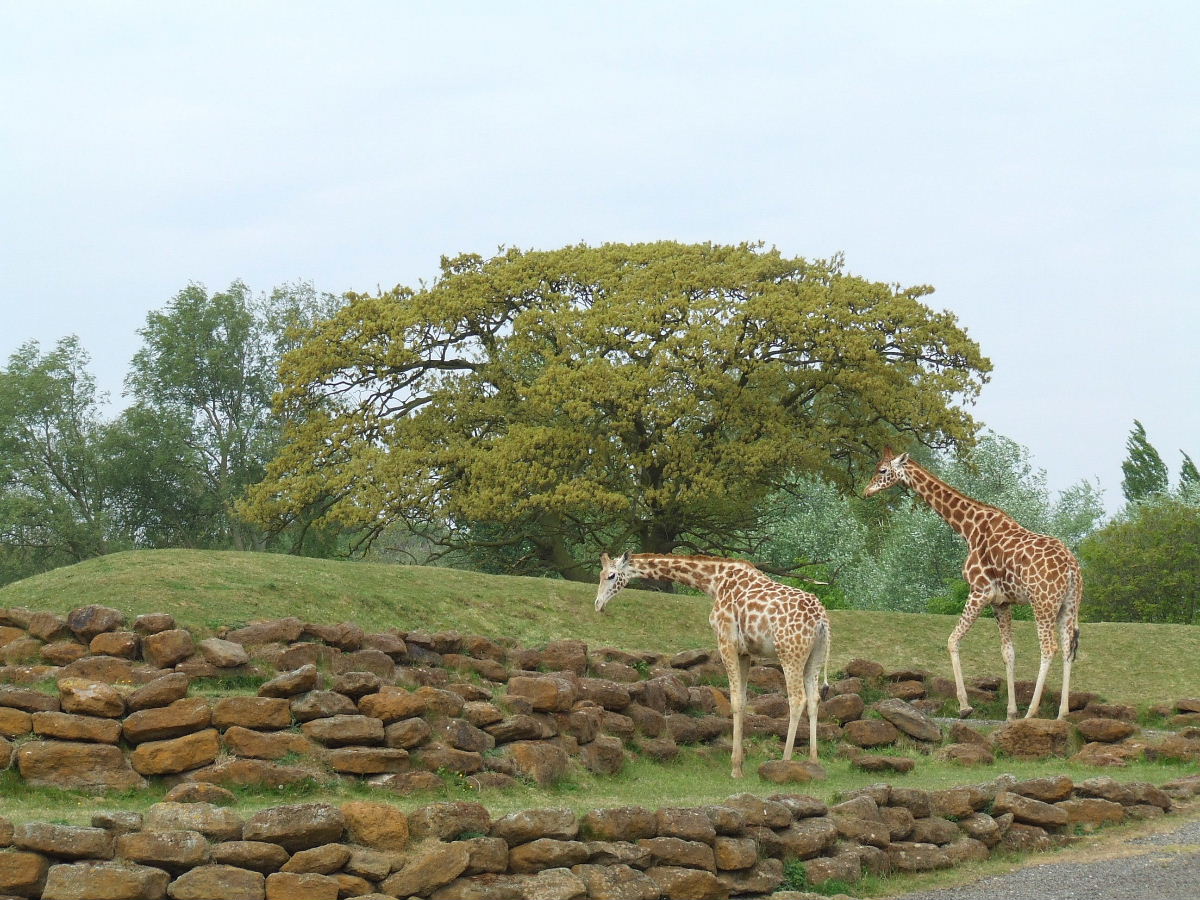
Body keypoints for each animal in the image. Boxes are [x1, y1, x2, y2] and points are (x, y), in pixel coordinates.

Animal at [594, 552, 830, 778]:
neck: (714, 581)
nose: (598, 604)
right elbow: (743, 700)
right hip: (814, 657)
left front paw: (735, 769)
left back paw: (785, 762)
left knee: (797, 698)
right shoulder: (744, 652)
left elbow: (735, 701)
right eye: (600, 574)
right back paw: (814, 761)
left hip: (789, 653)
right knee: (814, 699)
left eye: (611, 575)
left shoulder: (726, 641)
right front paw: (741, 765)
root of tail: (822, 620)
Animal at [863, 447, 1082, 720]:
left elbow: (952, 640)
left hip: (1043, 602)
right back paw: (1062, 713)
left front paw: (965, 706)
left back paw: (1032, 712)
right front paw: (1010, 713)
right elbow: (1008, 653)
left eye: (882, 470)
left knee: (1049, 647)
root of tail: (1072, 568)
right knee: (1068, 648)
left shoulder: (980, 591)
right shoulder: (1001, 601)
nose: (866, 491)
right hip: (1069, 605)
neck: (969, 528)